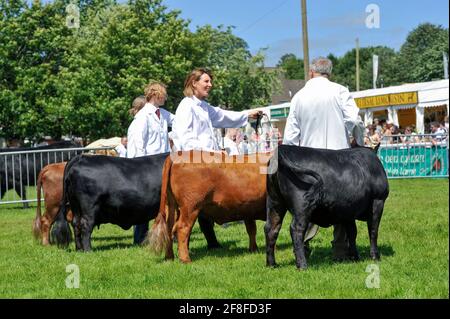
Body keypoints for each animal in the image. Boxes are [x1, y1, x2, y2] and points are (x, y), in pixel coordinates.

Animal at [51, 154, 221, 251]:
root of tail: (79, 158)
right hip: (89, 207)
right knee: (85, 226)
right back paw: (88, 250)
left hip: (76, 207)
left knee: (75, 224)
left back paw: (79, 249)